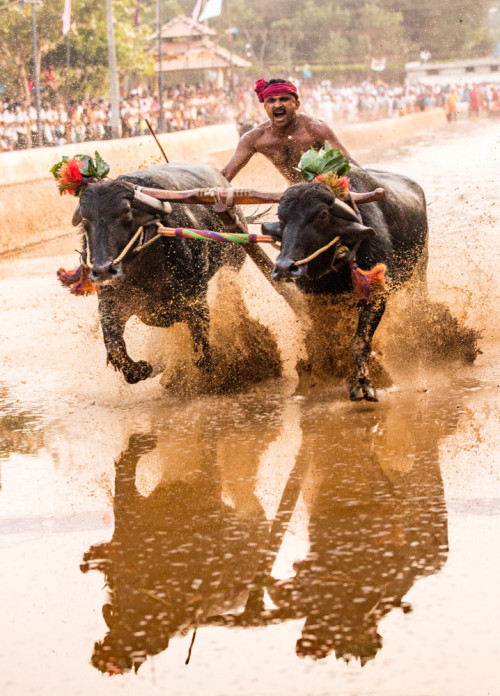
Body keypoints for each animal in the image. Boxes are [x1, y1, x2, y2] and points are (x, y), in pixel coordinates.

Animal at [76, 162, 246, 384]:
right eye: (85, 219)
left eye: (126, 213)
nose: (103, 270)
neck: (143, 273)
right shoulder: (111, 302)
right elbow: (115, 348)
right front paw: (143, 368)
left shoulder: (195, 299)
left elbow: (201, 353)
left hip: (235, 261)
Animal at [262, 165, 430, 400]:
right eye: (281, 217)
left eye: (322, 215)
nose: (286, 267)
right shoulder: (316, 299)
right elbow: (326, 341)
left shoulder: (376, 295)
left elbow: (360, 342)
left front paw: (362, 384)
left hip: (420, 271)